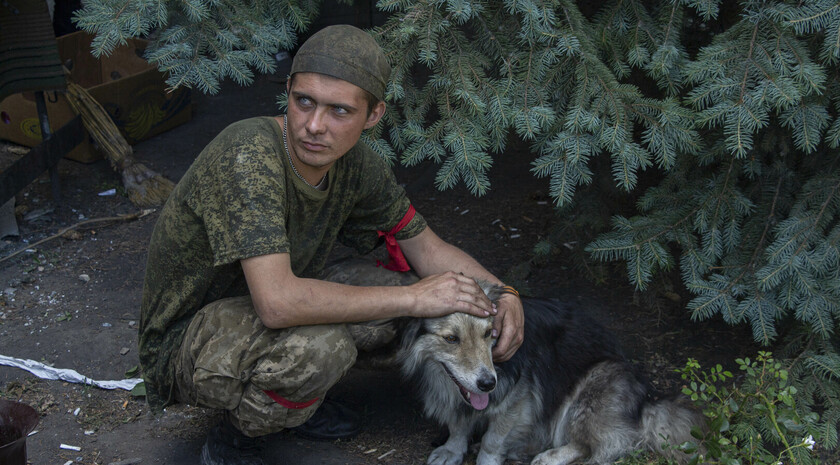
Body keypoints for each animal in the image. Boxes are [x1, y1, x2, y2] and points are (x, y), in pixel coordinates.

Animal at [400, 282, 704, 464]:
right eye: (451, 339)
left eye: (489, 334)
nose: (487, 383)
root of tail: (647, 399)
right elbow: (458, 426)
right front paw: (453, 449)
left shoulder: (517, 402)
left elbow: (492, 440)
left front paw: (486, 457)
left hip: (591, 391)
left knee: (603, 444)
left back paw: (550, 456)